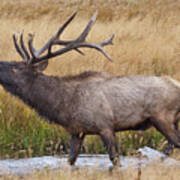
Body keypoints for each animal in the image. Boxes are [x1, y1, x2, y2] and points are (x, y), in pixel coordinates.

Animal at [0, 10, 179, 166]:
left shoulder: (105, 125)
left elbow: (115, 159)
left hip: (162, 117)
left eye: (17, 68)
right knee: (171, 146)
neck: (63, 105)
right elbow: (71, 160)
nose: (0, 63)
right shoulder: (76, 131)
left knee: (174, 143)